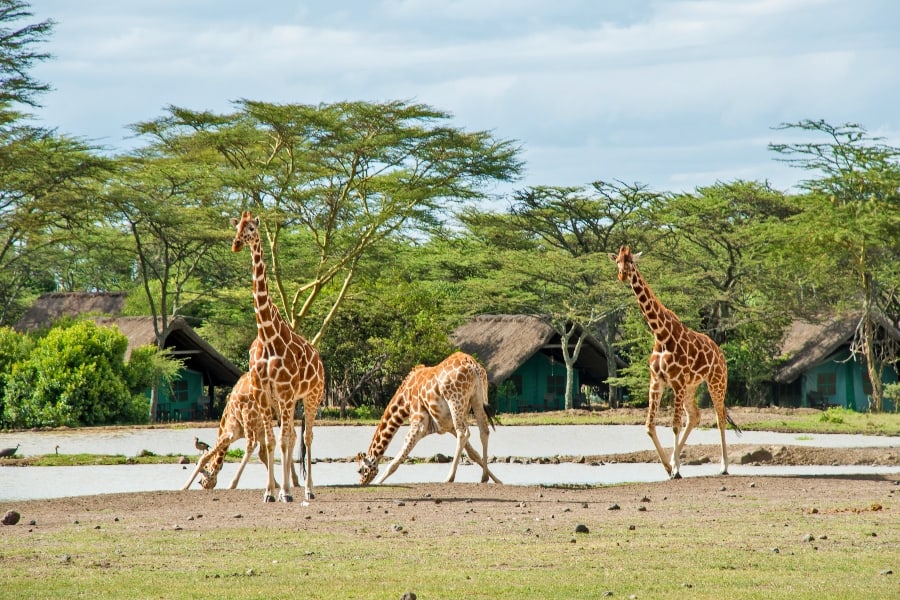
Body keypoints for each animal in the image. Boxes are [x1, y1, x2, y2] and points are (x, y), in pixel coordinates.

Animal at [231, 210, 326, 502]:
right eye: (236, 227)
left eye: (251, 228)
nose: (236, 244)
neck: (267, 336)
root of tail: (319, 359)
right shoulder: (264, 396)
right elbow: (274, 441)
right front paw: (269, 493)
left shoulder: (285, 393)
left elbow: (284, 441)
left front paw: (284, 491)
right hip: (289, 401)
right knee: (293, 436)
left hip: (312, 395)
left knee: (306, 438)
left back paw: (308, 490)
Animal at [357, 351, 503, 486]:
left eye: (359, 470)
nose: (361, 483)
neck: (404, 401)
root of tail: (472, 365)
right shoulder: (447, 426)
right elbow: (473, 454)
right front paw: (497, 480)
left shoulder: (418, 423)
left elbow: (396, 461)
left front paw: (378, 483)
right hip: (477, 397)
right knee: (484, 431)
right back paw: (483, 477)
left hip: (455, 399)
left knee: (464, 433)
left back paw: (449, 478)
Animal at [610, 245, 741, 478]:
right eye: (617, 261)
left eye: (631, 262)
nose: (622, 275)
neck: (661, 335)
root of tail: (720, 353)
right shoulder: (657, 381)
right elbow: (649, 425)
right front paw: (669, 467)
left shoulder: (677, 382)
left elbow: (674, 425)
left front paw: (677, 469)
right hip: (691, 386)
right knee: (695, 416)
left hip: (716, 381)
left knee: (720, 418)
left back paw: (724, 467)